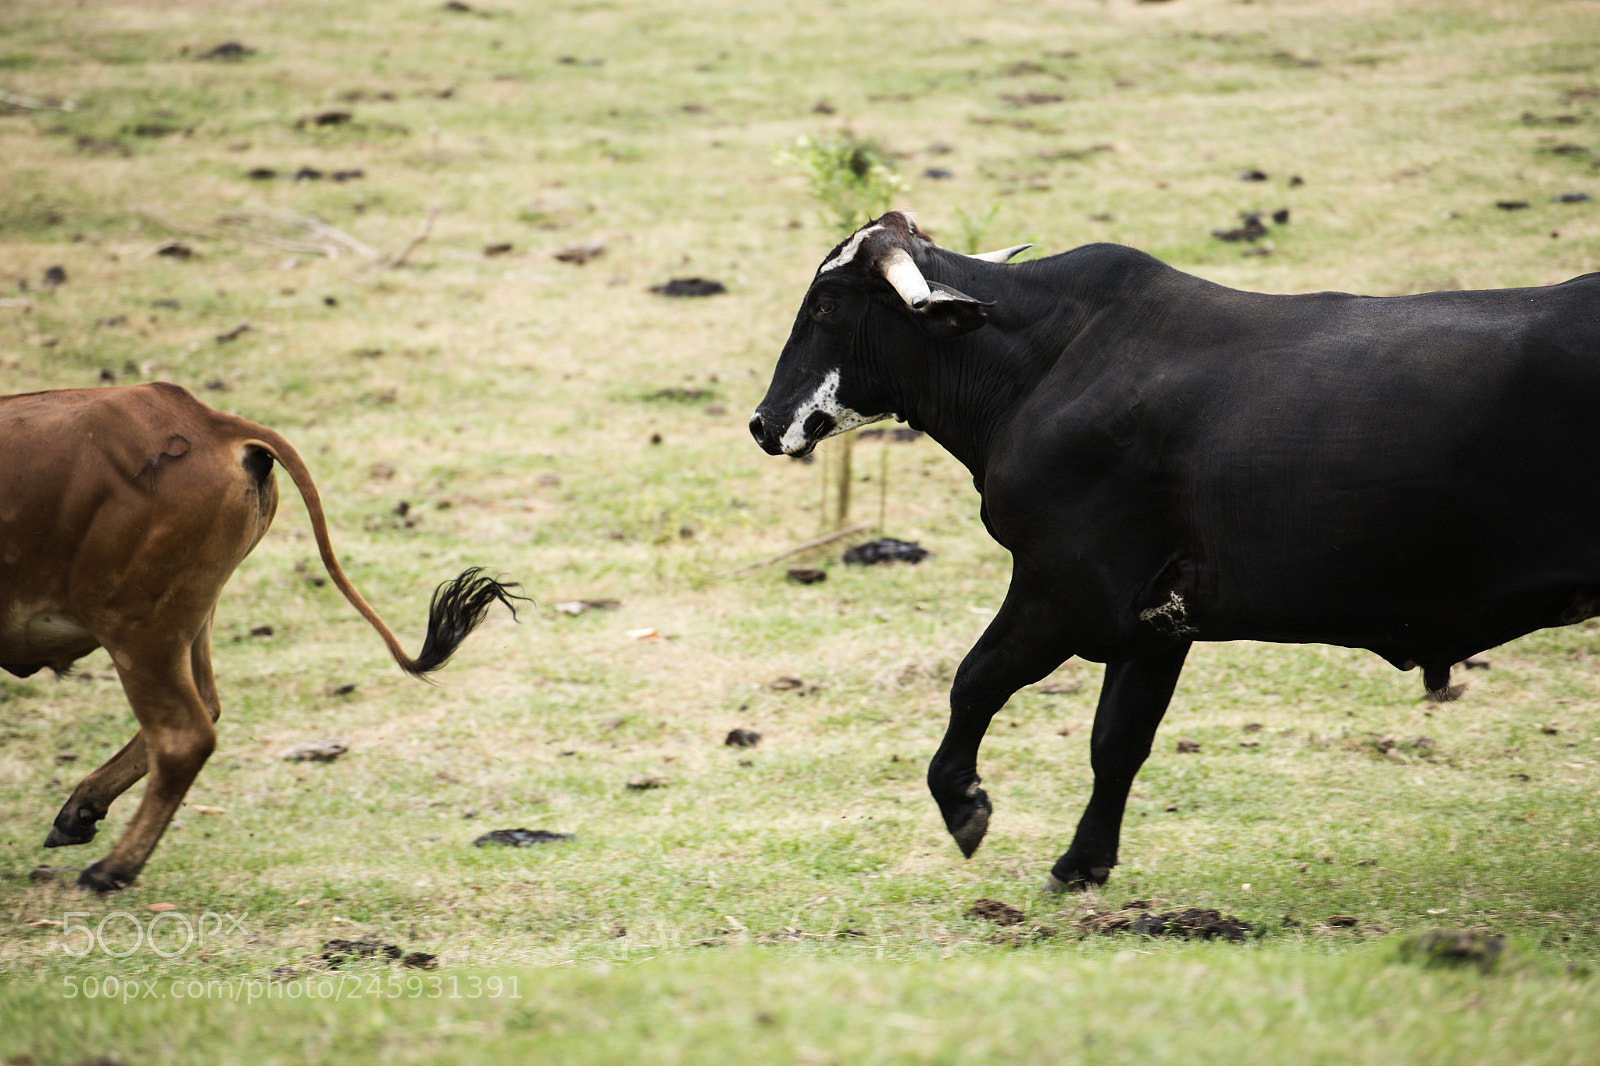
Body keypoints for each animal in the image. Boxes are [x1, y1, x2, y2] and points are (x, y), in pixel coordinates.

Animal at [1, 382, 524, 891]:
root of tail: (207, 418)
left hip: (138, 628)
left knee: (183, 735)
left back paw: (111, 868)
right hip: (186, 619)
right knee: (204, 708)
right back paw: (81, 816)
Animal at [749, 209, 1600, 891]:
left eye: (826, 305)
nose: (763, 421)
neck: (1050, 364)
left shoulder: (1065, 590)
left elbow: (975, 683)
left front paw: (963, 803)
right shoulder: (1157, 621)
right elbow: (1117, 741)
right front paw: (1082, 863)